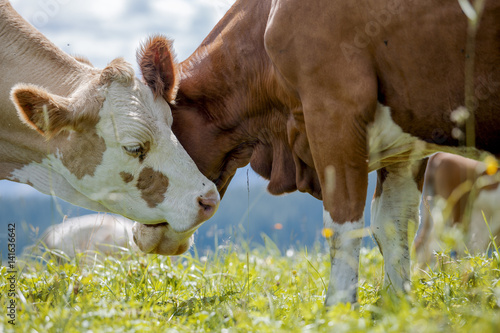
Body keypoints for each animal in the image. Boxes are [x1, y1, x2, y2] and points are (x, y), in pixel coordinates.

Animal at [135, 0, 500, 304]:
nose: (138, 236)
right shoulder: (405, 150)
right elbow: (394, 223)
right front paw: (398, 304)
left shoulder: (334, 110)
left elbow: (343, 223)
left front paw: (339, 309)